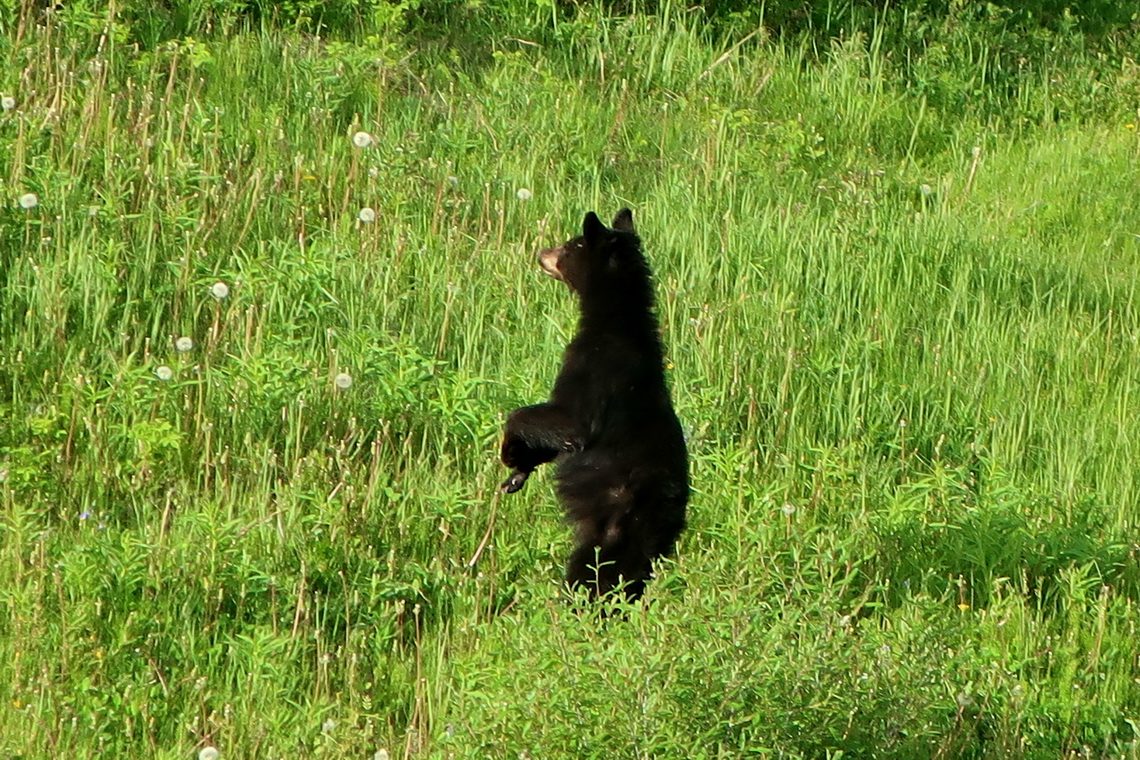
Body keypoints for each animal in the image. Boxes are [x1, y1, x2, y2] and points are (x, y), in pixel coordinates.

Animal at [499, 208, 684, 601]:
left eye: (572, 245)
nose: (542, 251)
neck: (617, 322)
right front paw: (519, 470)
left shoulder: (593, 369)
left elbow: (565, 420)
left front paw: (510, 451)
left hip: (615, 519)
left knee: (595, 567)